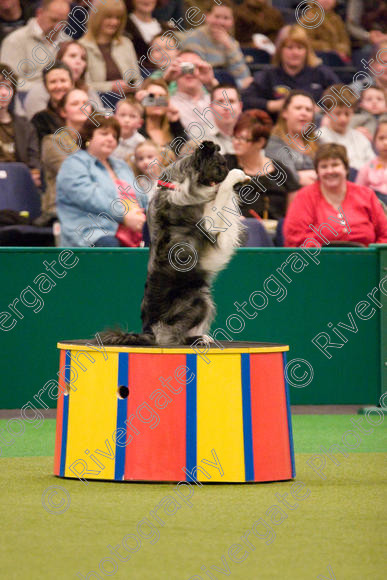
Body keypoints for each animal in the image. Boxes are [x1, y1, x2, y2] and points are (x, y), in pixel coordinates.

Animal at [99, 142, 252, 346]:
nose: (230, 170)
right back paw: (197, 338)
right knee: (173, 337)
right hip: (198, 299)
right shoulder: (209, 226)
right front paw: (236, 175)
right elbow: (223, 191)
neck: (177, 184)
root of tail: (148, 330)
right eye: (220, 165)